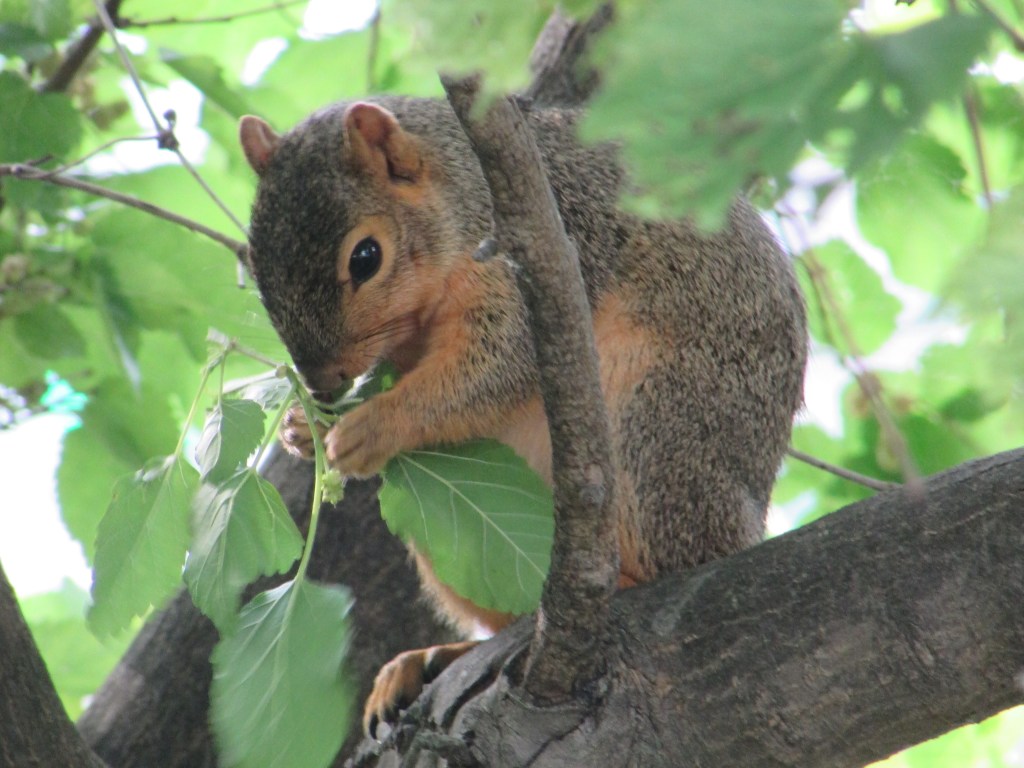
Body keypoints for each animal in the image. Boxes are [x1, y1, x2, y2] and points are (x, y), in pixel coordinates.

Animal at [238, 95, 807, 737]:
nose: (321, 384)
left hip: (660, 428)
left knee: (680, 552)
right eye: (254, 264)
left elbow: (497, 365)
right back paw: (436, 657)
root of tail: (746, 525)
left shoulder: (542, 260)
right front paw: (299, 430)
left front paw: (368, 427)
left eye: (366, 257)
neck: (461, 186)